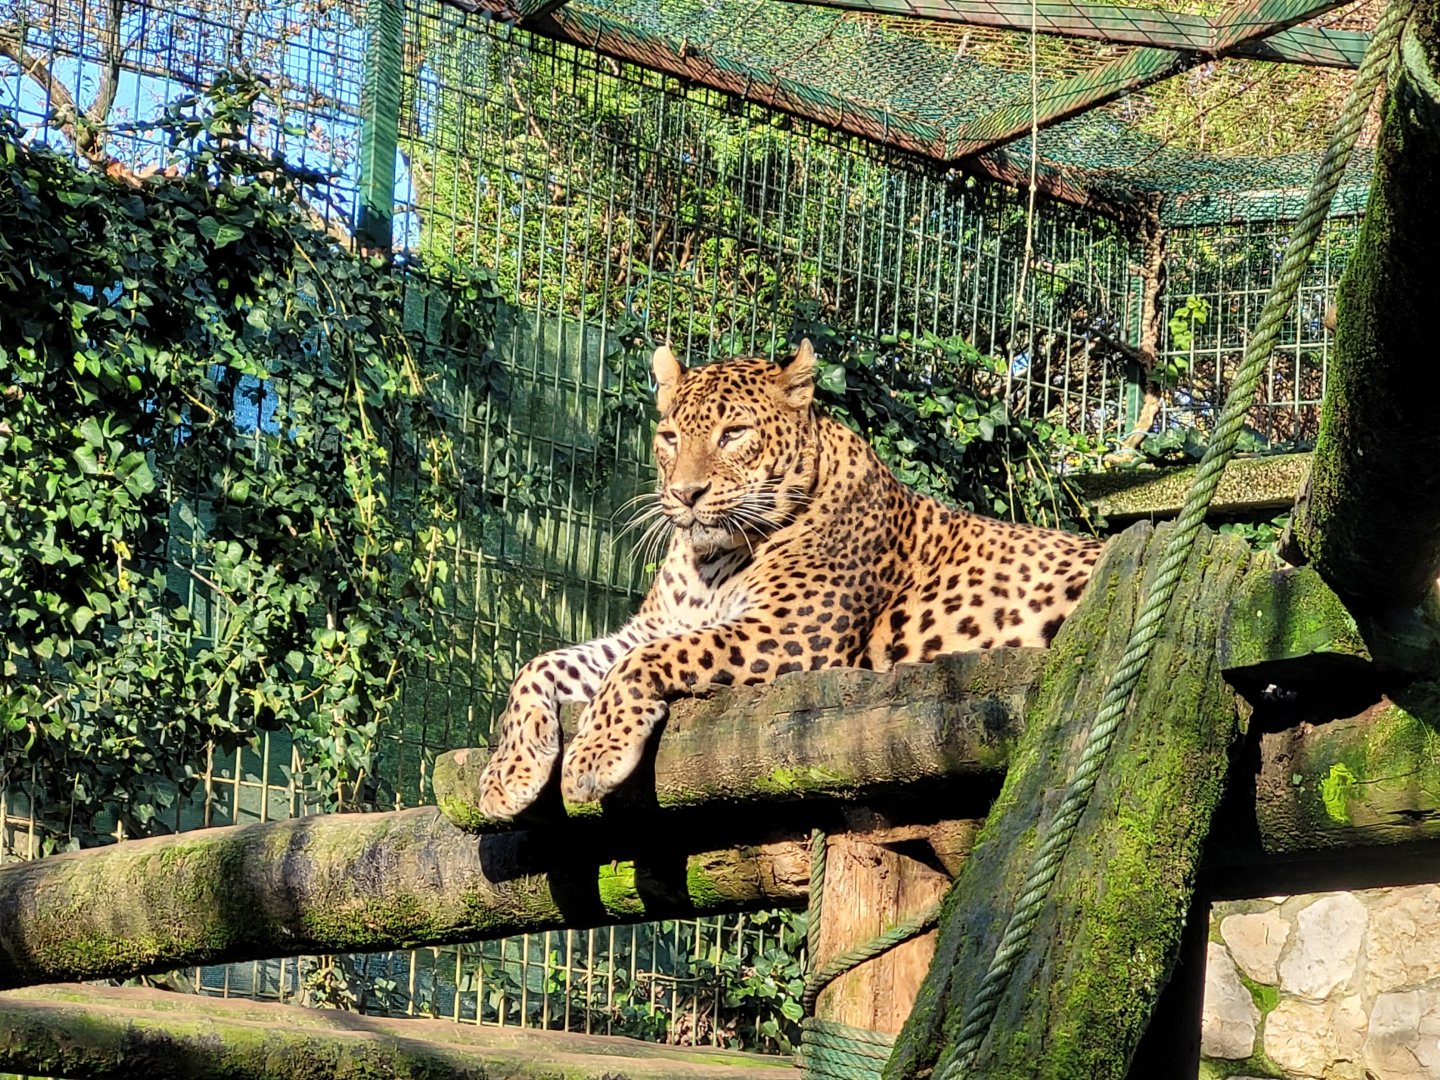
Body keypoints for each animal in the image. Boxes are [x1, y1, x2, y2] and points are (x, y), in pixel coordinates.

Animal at [477, 339, 1105, 819]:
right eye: (671, 437)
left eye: (733, 434)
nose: (685, 493)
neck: (709, 562)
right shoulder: (652, 626)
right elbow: (541, 665)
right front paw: (507, 772)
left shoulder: (792, 634)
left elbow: (645, 661)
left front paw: (593, 755)